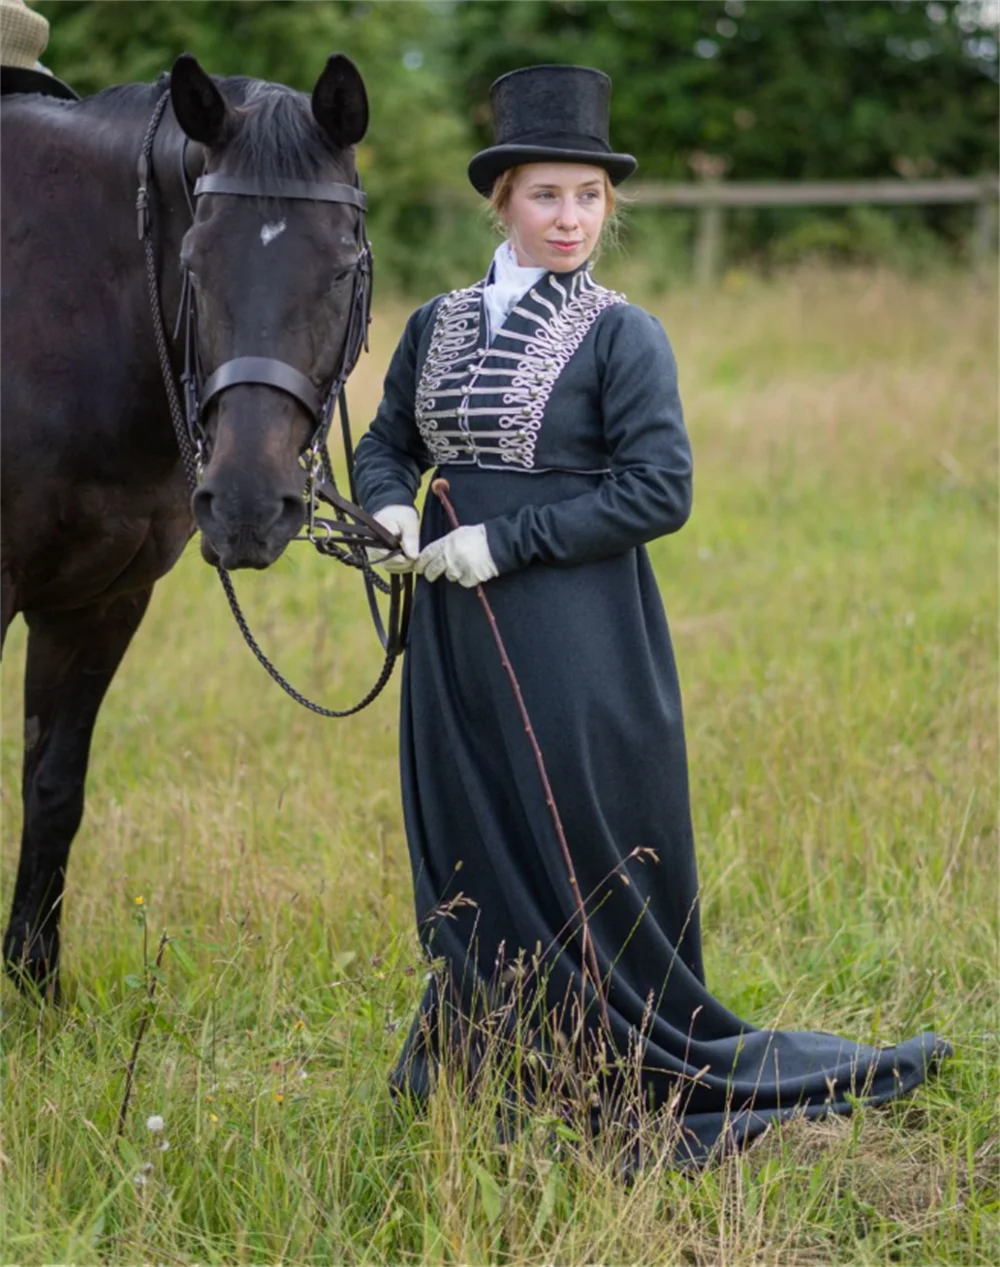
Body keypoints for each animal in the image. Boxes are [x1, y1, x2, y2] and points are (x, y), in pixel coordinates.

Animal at [0, 52, 375, 991]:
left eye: (343, 267)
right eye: (194, 263)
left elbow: (53, 788)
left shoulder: (100, 603)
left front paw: (34, 986)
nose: (245, 506)